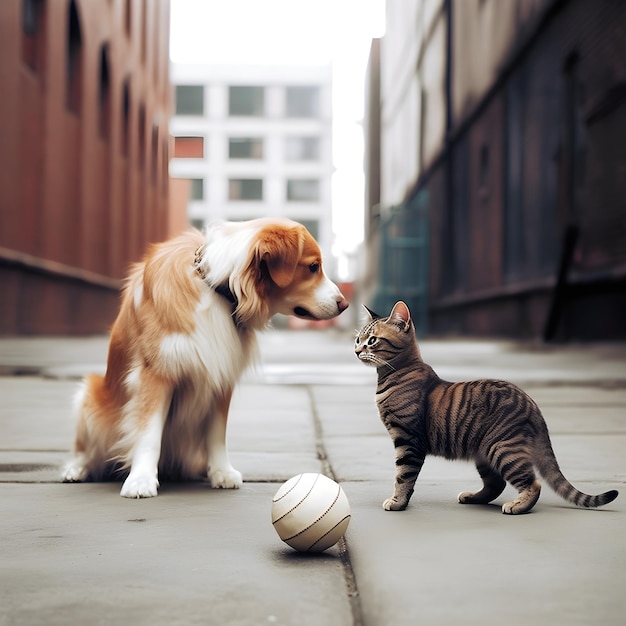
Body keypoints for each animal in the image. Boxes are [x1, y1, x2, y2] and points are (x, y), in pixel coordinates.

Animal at [62, 219, 346, 498]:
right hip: (86, 397)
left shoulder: (220, 374)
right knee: (86, 451)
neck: (217, 286)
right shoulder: (155, 373)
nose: (344, 304)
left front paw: (222, 472)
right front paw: (141, 479)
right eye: (313, 267)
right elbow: (149, 433)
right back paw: (76, 470)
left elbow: (217, 434)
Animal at [354, 302, 616, 512]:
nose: (356, 351)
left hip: (502, 448)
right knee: (496, 484)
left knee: (533, 484)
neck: (395, 373)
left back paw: (518, 506)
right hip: (484, 453)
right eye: (358, 340)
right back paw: (473, 497)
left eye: (372, 341)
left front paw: (397, 502)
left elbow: (403, 476)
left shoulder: (408, 440)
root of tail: (532, 404)